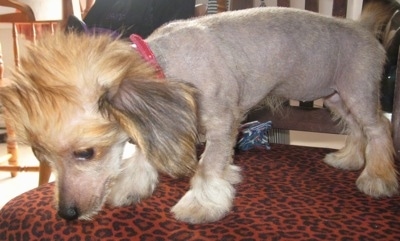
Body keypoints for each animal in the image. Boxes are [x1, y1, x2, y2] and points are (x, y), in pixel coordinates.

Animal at [0, 1, 400, 224]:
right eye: (42, 156)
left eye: (85, 153)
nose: (66, 215)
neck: (166, 61)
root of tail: (361, 27)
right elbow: (147, 153)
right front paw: (131, 185)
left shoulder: (225, 124)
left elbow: (208, 166)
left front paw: (203, 203)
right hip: (335, 97)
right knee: (358, 131)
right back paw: (349, 159)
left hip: (358, 92)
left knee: (378, 130)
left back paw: (377, 177)